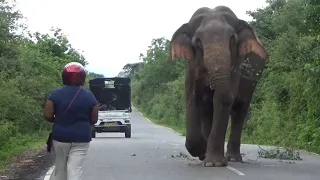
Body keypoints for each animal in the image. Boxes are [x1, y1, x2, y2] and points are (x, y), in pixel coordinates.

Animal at [170, 5, 268, 167]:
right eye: (198, 41)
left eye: (232, 39)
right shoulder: (190, 65)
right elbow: (192, 99)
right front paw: (202, 153)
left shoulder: (237, 60)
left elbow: (222, 99)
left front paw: (213, 163)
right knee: (208, 110)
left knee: (240, 110)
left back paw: (232, 158)